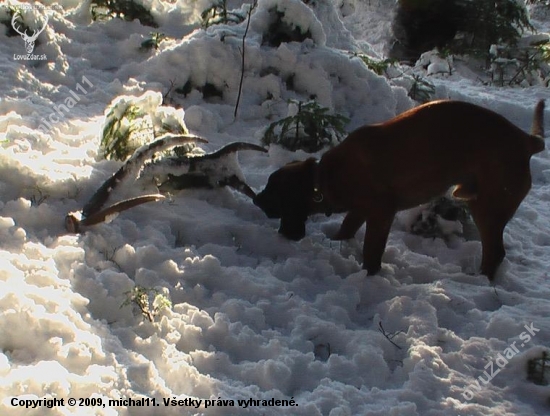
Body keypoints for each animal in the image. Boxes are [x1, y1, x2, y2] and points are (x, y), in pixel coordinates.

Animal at [256, 100, 548, 280]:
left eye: (272, 190)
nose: (257, 200)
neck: (324, 178)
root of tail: (526, 140)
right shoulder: (360, 210)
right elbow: (347, 228)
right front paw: (339, 242)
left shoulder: (381, 212)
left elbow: (371, 251)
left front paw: (369, 276)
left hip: (486, 207)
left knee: (495, 252)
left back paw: (479, 281)